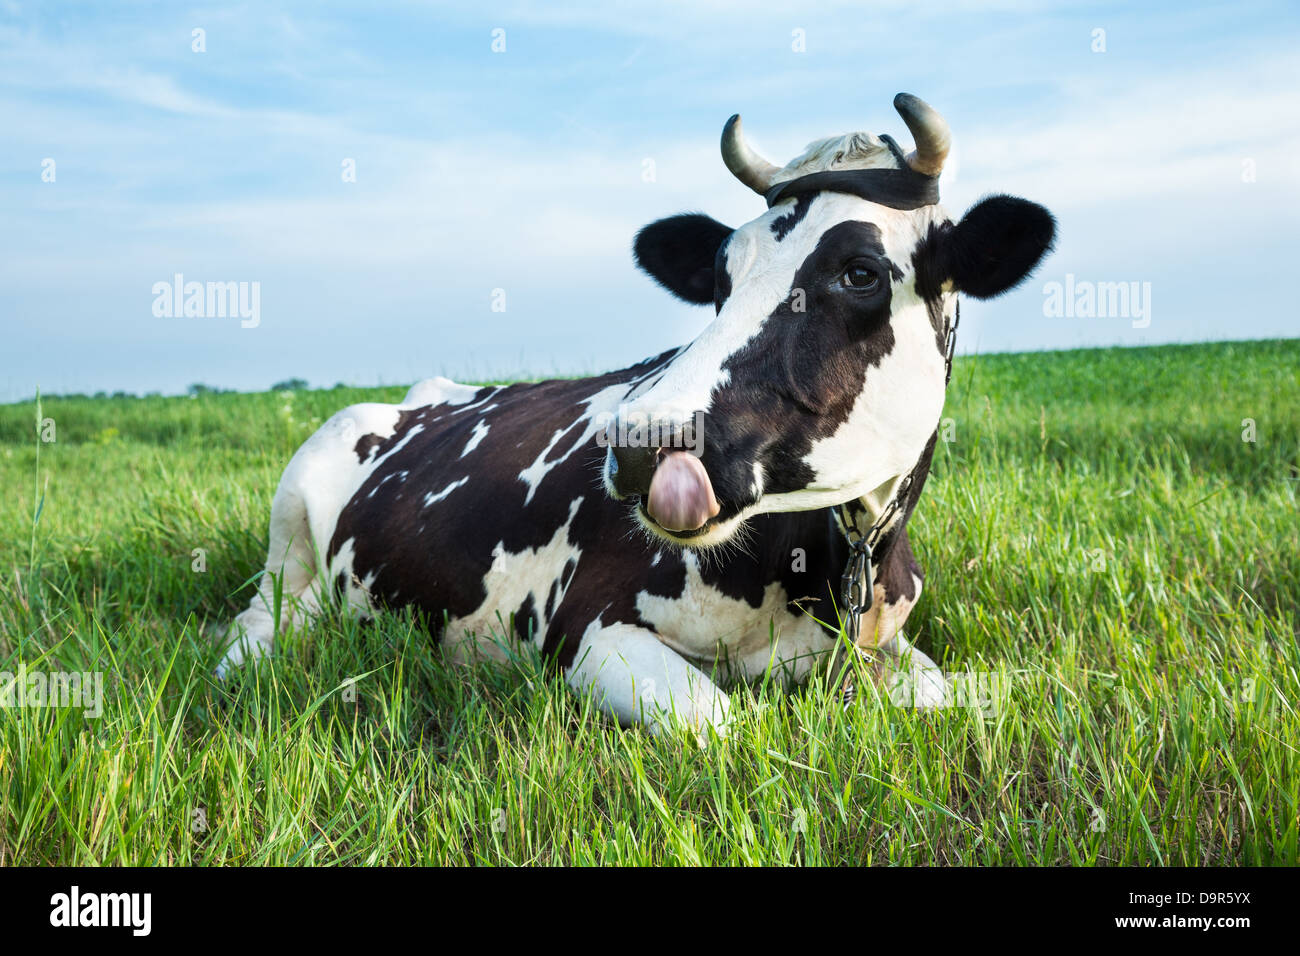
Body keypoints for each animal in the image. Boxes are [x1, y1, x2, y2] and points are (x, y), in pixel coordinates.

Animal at [220, 93, 1055, 738]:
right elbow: (723, 725)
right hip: (292, 515)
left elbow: (959, 695)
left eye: (860, 273)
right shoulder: (587, 630)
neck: (832, 570)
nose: (640, 448)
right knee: (261, 618)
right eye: (721, 276)